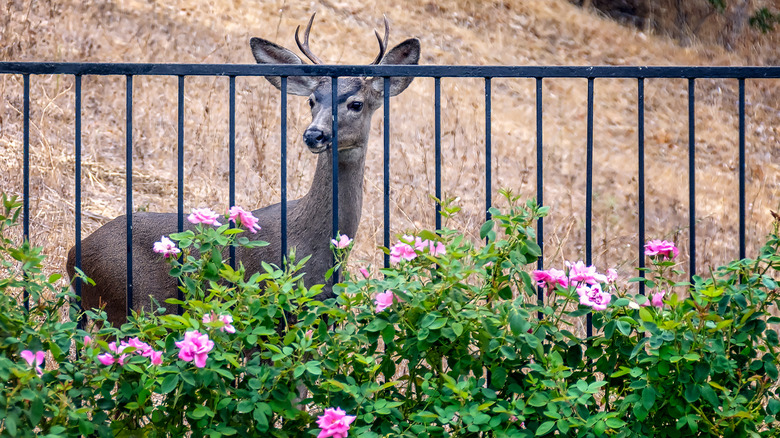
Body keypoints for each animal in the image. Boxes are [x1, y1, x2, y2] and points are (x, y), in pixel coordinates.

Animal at [67, 12, 420, 326]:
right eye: (312, 100)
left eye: (356, 103)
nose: (314, 134)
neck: (314, 242)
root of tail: (73, 257)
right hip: (124, 305)